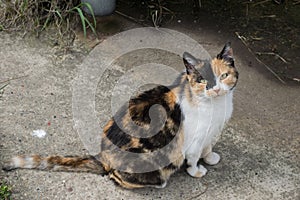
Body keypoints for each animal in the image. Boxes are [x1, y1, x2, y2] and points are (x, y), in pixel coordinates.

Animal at [1, 42, 238, 189]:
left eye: (224, 76)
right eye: (202, 80)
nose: (216, 89)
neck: (218, 106)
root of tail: (102, 157)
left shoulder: (212, 131)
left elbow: (208, 148)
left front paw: (211, 158)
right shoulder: (194, 139)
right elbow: (195, 156)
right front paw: (197, 171)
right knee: (117, 178)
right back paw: (158, 182)